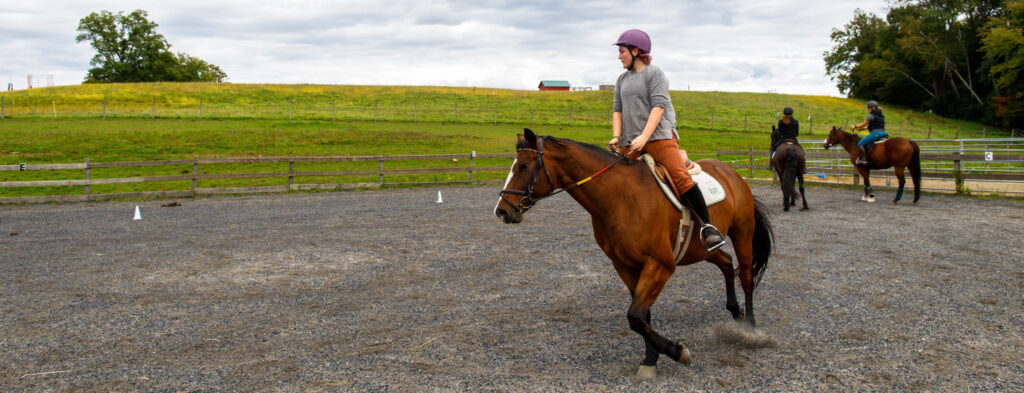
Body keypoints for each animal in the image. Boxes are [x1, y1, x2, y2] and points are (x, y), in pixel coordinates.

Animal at [495, 129, 774, 376]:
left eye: (524, 166)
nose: (502, 210)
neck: (620, 197)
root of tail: (731, 172)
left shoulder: (660, 265)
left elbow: (635, 316)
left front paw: (677, 352)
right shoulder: (625, 265)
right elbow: (642, 317)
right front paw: (651, 360)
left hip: (742, 233)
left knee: (746, 276)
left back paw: (750, 328)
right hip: (700, 249)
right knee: (726, 263)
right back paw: (735, 312)